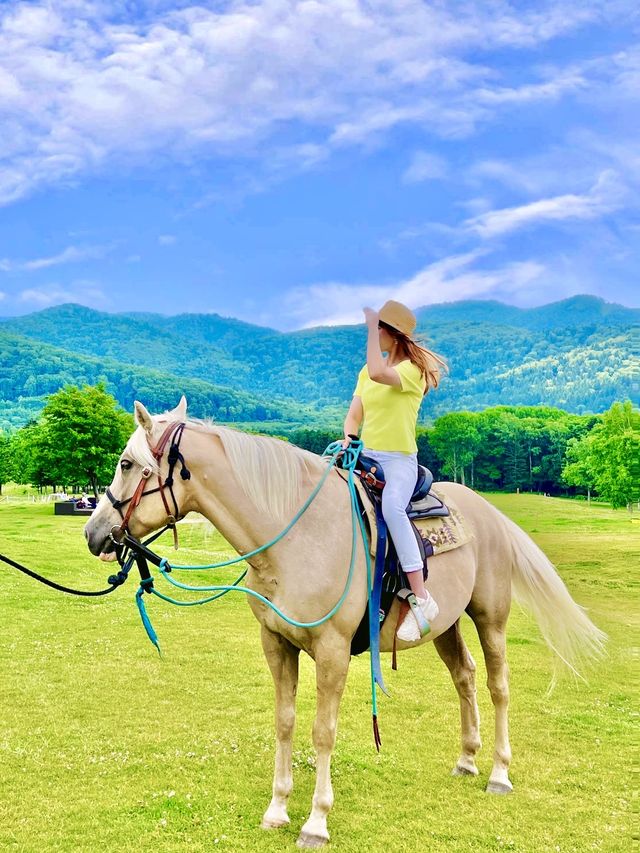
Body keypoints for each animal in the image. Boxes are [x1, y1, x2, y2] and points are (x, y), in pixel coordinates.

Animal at [85, 398, 604, 844]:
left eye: (127, 464)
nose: (94, 532)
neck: (294, 538)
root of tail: (489, 511)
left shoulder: (332, 650)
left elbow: (322, 731)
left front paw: (315, 822)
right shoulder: (276, 643)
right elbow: (286, 722)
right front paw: (277, 809)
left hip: (489, 617)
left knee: (498, 685)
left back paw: (498, 772)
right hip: (447, 625)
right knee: (465, 676)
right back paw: (467, 759)